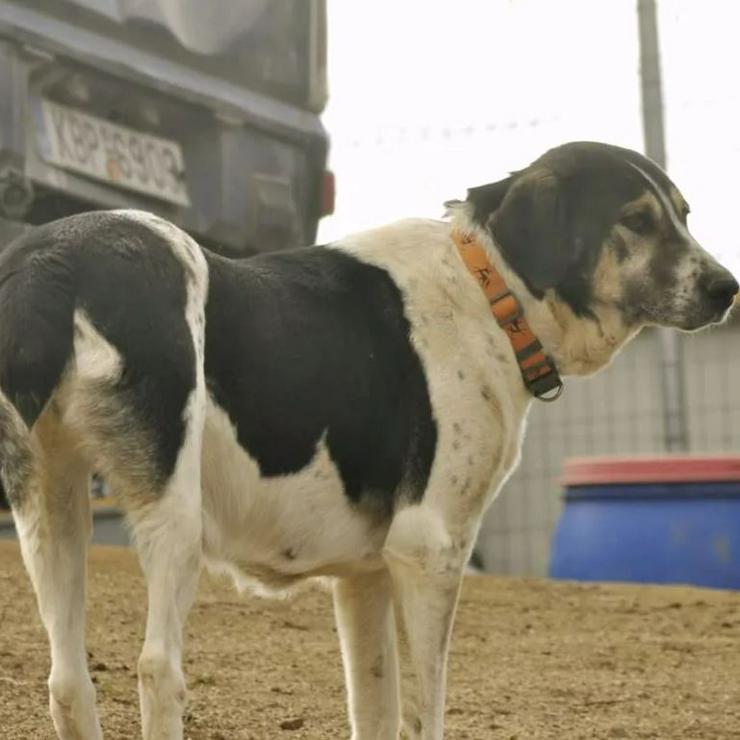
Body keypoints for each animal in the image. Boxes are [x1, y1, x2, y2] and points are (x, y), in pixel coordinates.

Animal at [0, 142, 736, 736]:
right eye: (636, 220)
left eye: (684, 214)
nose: (727, 289)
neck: (488, 291)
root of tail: (56, 258)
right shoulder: (429, 551)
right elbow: (424, 712)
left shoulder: (363, 578)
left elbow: (375, 709)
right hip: (175, 516)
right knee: (157, 669)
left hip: (53, 511)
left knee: (67, 682)